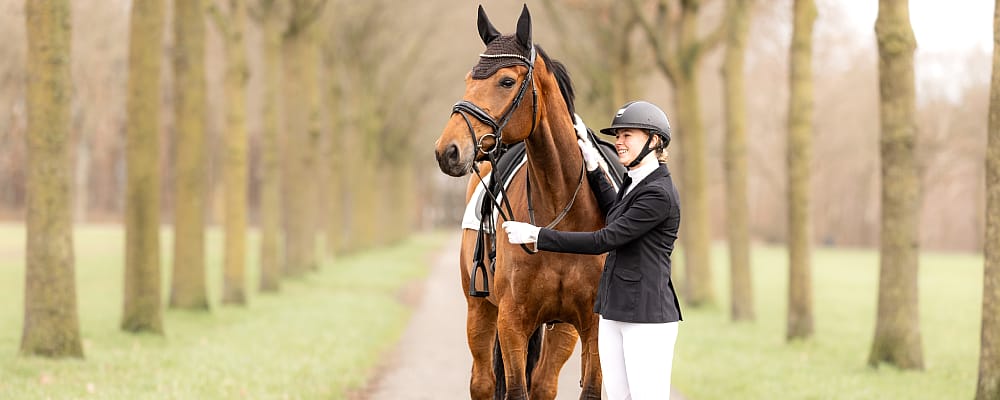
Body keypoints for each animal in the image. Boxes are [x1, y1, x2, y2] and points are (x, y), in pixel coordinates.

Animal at [434, 5, 605, 400]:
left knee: (543, 383)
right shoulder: (512, 321)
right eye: (468, 78)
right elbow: (513, 389)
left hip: (563, 330)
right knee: (483, 382)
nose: (447, 150)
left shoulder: (593, 324)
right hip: (480, 311)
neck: (561, 215)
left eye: (507, 82)